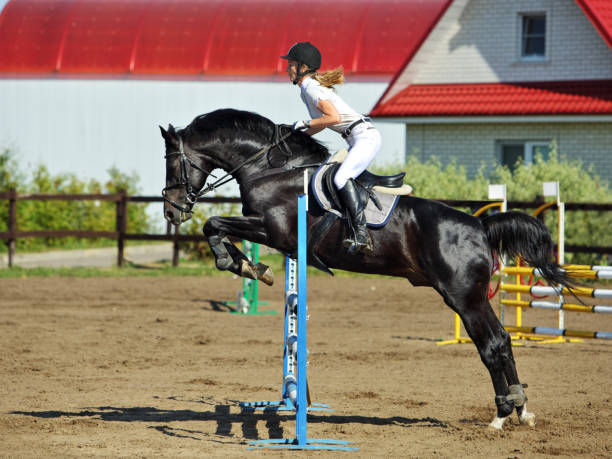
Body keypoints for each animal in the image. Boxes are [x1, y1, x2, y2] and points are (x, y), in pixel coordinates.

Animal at [160, 108, 572, 432]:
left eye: (173, 163)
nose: (171, 212)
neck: (270, 169)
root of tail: (480, 226)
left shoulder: (274, 232)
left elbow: (213, 224)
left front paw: (244, 264)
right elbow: (217, 228)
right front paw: (251, 266)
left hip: (464, 298)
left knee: (491, 345)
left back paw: (501, 414)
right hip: (471, 298)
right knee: (502, 340)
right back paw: (520, 412)